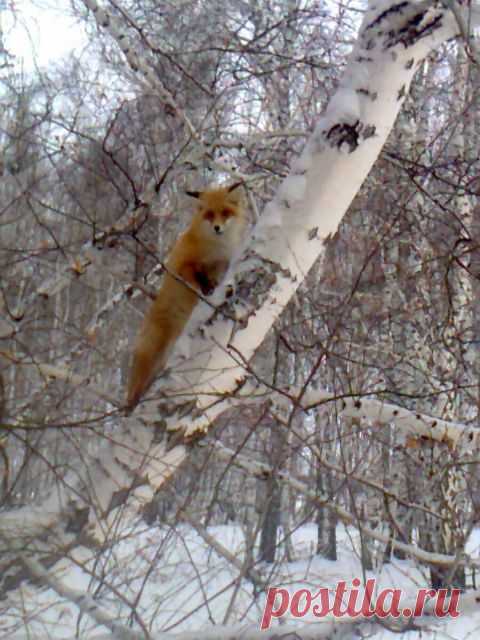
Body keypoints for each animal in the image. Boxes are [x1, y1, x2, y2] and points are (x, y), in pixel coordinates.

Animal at [126, 181, 248, 410]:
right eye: (209, 215)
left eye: (224, 213)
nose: (217, 228)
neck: (215, 247)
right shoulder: (184, 265)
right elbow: (196, 276)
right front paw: (206, 289)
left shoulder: (222, 263)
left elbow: (216, 275)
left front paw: (213, 286)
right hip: (151, 355)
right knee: (134, 388)